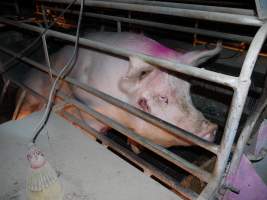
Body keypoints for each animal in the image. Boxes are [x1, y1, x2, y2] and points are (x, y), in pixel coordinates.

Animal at [2, 32, 222, 152]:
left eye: (188, 91)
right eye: (162, 97)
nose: (211, 128)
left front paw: (136, 149)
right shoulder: (89, 107)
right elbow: (92, 129)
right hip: (30, 95)